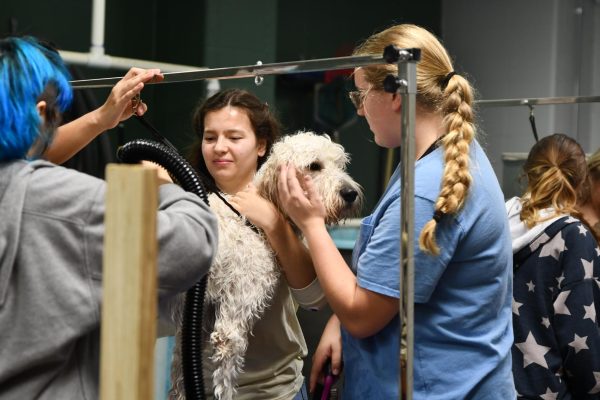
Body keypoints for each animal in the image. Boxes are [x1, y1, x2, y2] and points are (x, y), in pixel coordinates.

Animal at [169, 132, 360, 400]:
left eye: (341, 165)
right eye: (314, 166)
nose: (350, 193)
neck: (252, 223)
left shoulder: (197, 322)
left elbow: (179, 378)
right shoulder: (230, 327)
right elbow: (224, 384)